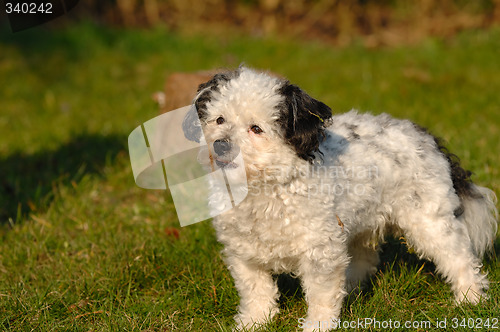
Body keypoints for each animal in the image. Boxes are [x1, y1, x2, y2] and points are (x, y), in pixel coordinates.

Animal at [185, 67, 500, 330]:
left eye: (256, 128)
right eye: (219, 119)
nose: (220, 145)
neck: (265, 188)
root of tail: (426, 136)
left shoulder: (320, 252)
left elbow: (321, 295)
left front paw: (318, 326)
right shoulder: (243, 253)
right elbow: (256, 291)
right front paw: (254, 322)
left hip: (429, 221)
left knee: (459, 257)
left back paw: (470, 298)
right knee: (365, 258)